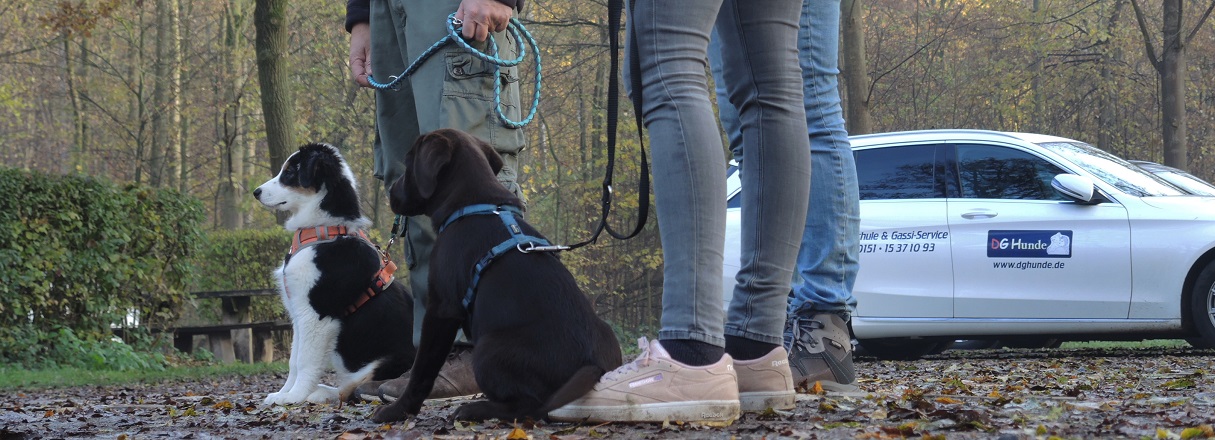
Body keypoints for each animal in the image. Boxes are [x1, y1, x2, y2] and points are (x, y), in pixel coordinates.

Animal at [252, 144, 417, 405]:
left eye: (289, 172)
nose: (256, 192)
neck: (323, 230)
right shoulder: (298, 313)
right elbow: (293, 360)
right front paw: (283, 393)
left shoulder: (316, 316)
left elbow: (304, 361)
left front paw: (294, 396)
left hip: (387, 362)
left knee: (352, 390)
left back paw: (320, 393)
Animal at [371, 128, 626, 422]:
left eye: (408, 161)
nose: (391, 192)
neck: (476, 204)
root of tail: (593, 365)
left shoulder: (441, 309)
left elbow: (422, 369)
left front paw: (397, 410)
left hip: (488, 347)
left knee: (529, 406)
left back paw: (473, 408)